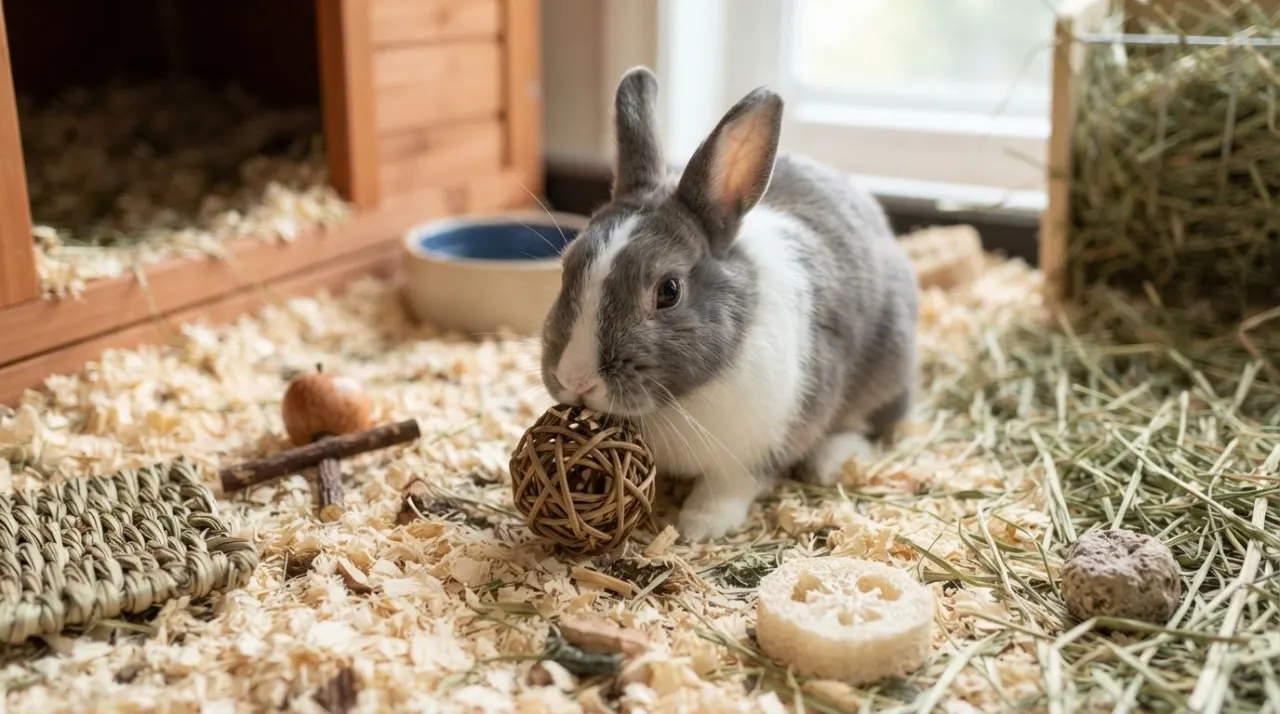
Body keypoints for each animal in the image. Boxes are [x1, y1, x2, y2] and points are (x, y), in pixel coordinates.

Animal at [539, 66, 920, 542]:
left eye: (669, 291)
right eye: (566, 267)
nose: (576, 379)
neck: (676, 402)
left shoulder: (756, 447)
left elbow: (728, 486)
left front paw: (700, 526)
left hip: (887, 366)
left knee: (872, 423)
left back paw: (832, 461)